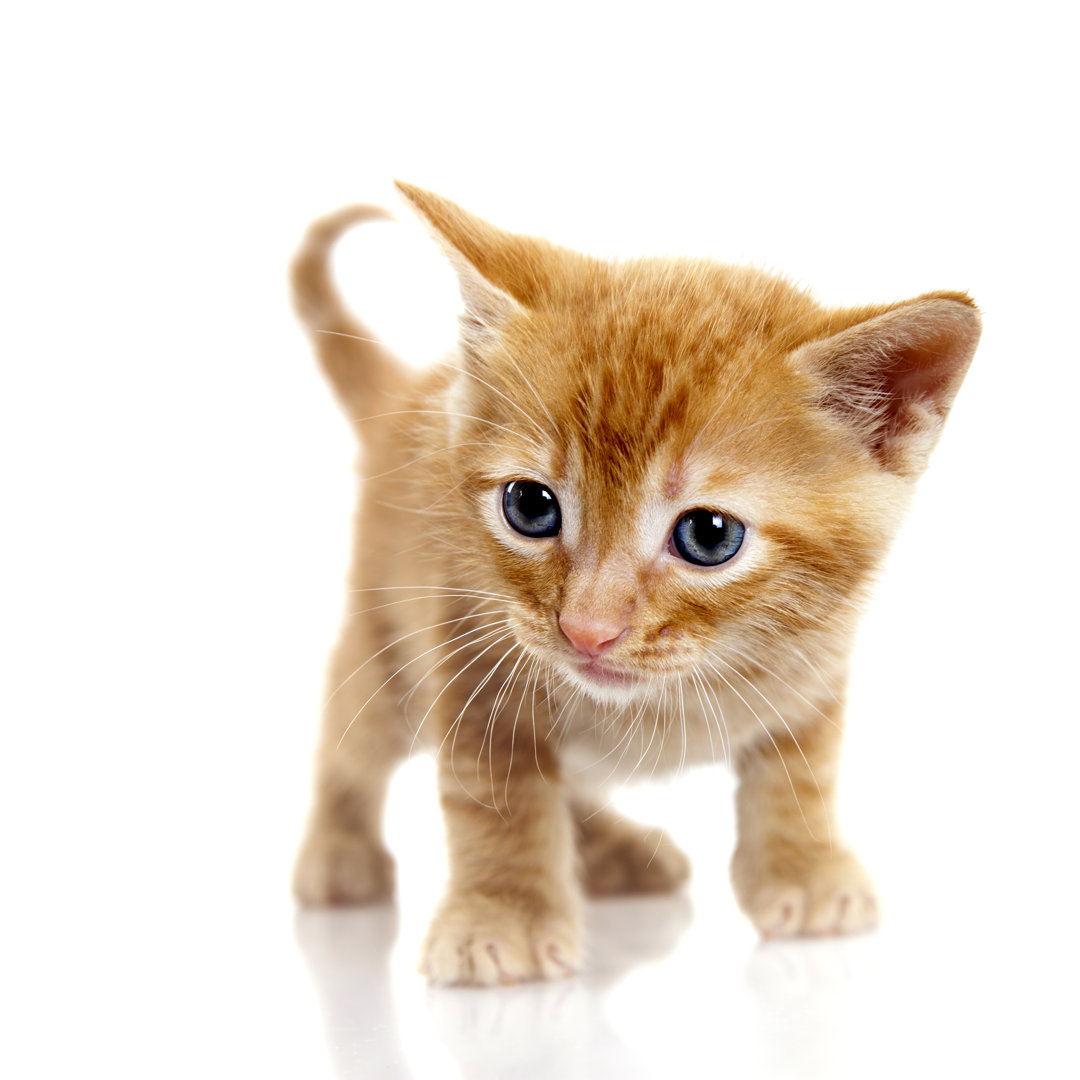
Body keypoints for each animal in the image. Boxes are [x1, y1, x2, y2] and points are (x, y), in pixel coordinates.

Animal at [287, 185, 980, 989]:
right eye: (530, 506)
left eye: (709, 535)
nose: (586, 629)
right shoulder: (470, 647)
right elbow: (497, 797)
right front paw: (503, 915)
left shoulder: (817, 663)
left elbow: (801, 771)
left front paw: (803, 869)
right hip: (384, 652)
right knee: (349, 745)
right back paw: (340, 851)